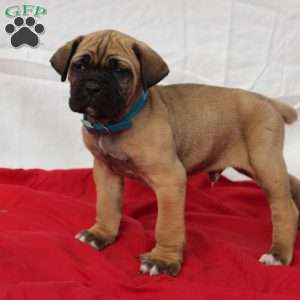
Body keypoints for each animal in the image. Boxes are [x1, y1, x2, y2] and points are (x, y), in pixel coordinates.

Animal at [51, 30, 300, 276]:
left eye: (120, 71)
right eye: (80, 66)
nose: (92, 87)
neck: (115, 122)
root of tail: (269, 101)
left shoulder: (170, 179)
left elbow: (167, 225)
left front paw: (162, 260)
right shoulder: (106, 172)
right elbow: (107, 206)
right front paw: (100, 234)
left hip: (265, 165)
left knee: (285, 209)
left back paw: (278, 253)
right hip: (262, 166)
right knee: (291, 185)